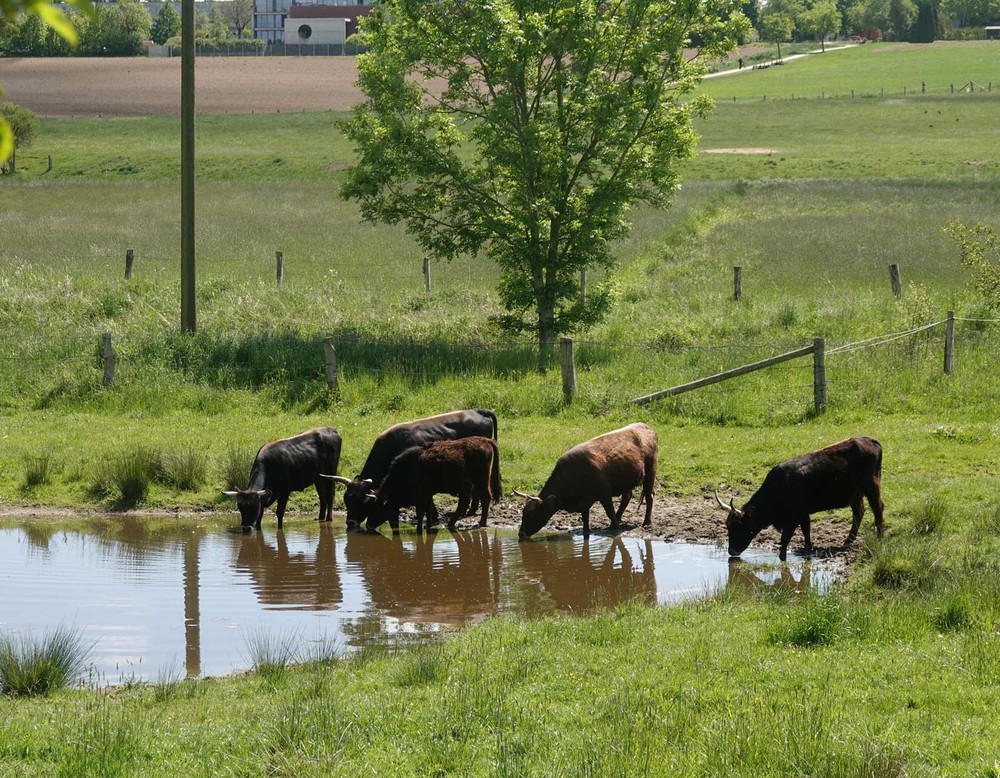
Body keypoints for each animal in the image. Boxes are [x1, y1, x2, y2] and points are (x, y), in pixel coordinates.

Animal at [368, 436, 504, 532]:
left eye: (377, 508)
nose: (369, 525)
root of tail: (485, 440)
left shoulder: (421, 497)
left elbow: (420, 513)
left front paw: (419, 528)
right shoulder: (428, 495)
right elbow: (428, 510)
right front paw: (428, 526)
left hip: (480, 481)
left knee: (485, 499)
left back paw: (481, 523)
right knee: (466, 503)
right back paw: (452, 523)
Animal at [512, 422, 660, 536]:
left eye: (531, 514)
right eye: (523, 513)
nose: (521, 534)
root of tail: (646, 427)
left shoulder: (605, 494)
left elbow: (609, 512)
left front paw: (616, 527)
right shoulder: (584, 502)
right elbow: (585, 521)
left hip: (651, 472)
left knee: (649, 495)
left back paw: (646, 522)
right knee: (627, 497)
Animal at [716, 436, 888, 556]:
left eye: (739, 526)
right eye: (727, 526)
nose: (731, 551)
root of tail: (869, 440)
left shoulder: (792, 520)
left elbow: (784, 541)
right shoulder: (803, 514)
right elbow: (806, 530)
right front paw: (807, 548)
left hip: (871, 487)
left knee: (877, 508)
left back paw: (879, 536)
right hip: (855, 494)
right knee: (859, 512)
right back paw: (848, 540)